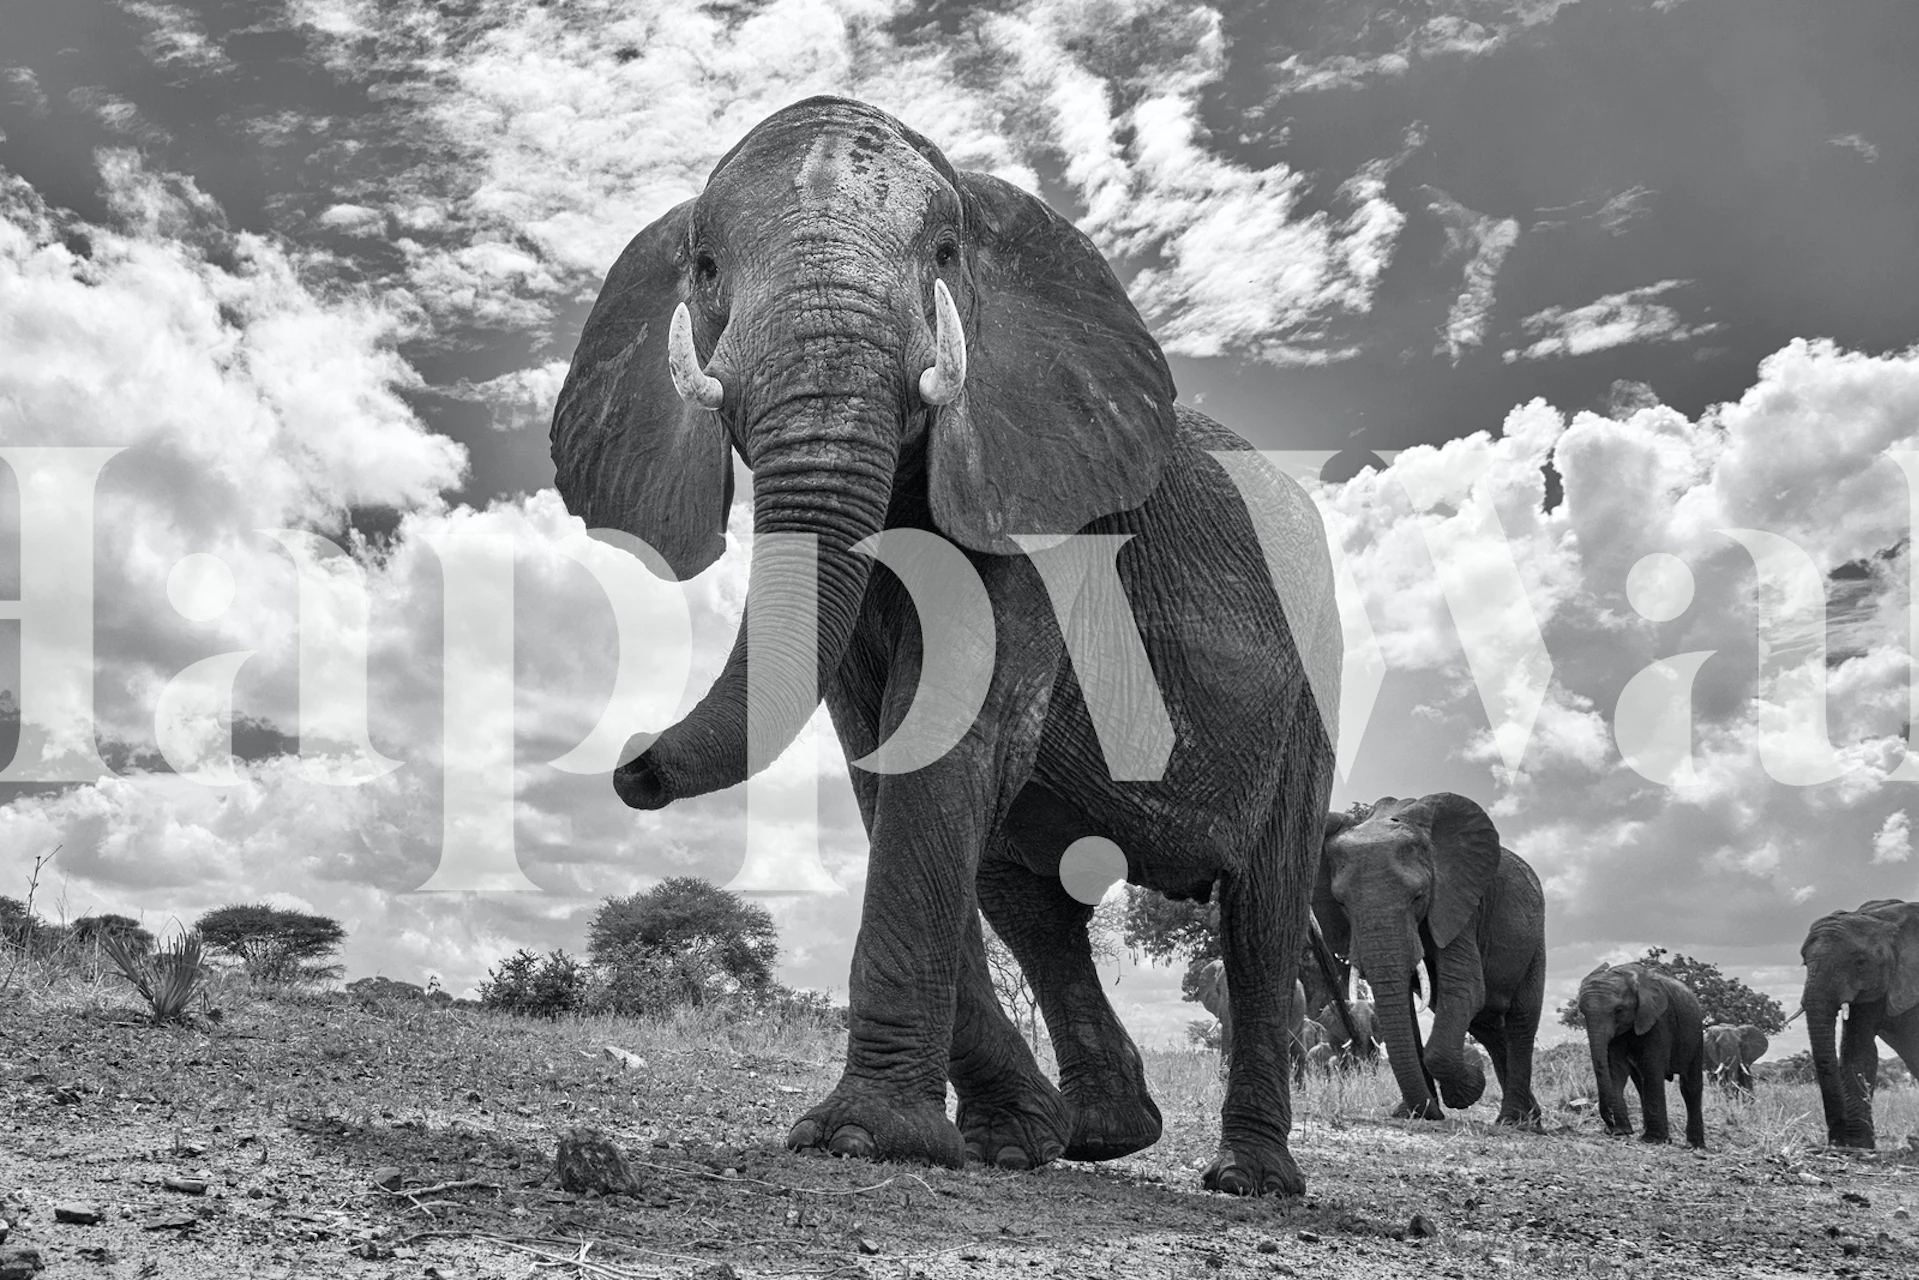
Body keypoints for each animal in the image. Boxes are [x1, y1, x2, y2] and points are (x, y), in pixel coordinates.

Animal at [552, 97, 1342, 1196]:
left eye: (943, 253)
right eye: (704, 268)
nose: (631, 768)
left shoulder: (1043, 515)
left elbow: (942, 742)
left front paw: (862, 1138)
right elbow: (882, 768)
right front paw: (1006, 1137)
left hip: (1312, 683)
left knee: (1263, 910)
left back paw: (1246, 1180)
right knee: (1030, 899)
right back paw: (1100, 1136)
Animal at [1315, 793, 1546, 1126]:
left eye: (1419, 896)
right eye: (1342, 903)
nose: (1426, 1112)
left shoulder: (1459, 904)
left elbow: (1465, 988)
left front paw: (1466, 1090)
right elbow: (1404, 1007)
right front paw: (1417, 1112)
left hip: (1534, 940)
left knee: (1521, 1019)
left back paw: (1515, 1120)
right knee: (1488, 1027)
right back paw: (1529, 1116)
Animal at [1577, 961, 1706, 1148]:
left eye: (1618, 1010)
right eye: (1582, 1012)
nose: (1609, 1125)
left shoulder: (1659, 1019)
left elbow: (1652, 1067)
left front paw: (1653, 1140)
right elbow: (1615, 1069)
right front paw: (1621, 1131)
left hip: (1696, 1034)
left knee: (1690, 1086)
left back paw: (1694, 1145)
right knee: (1640, 1083)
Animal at [1799, 898, 1919, 1149]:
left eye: (1861, 963)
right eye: (1804, 962)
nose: (1836, 1141)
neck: (1882, 918)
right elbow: (1858, 1050)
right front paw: (1858, 1145)